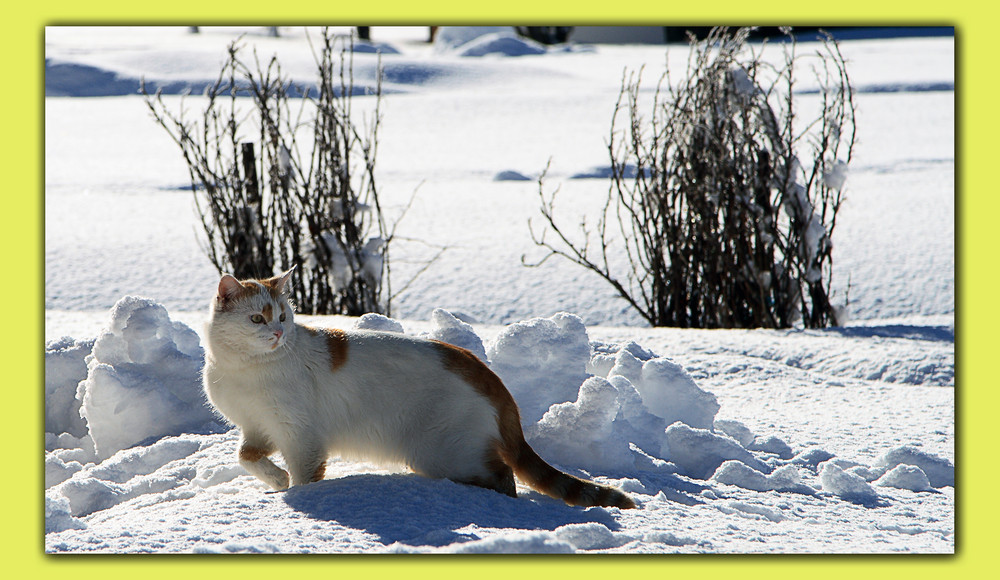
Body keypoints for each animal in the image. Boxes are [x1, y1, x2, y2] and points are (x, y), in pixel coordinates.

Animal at [203, 270, 636, 510]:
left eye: (283, 316)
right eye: (257, 319)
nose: (278, 334)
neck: (244, 369)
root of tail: (487, 374)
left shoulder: (301, 436)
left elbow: (305, 479)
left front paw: (295, 496)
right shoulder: (256, 428)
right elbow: (246, 456)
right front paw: (275, 482)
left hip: (442, 452)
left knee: (503, 476)